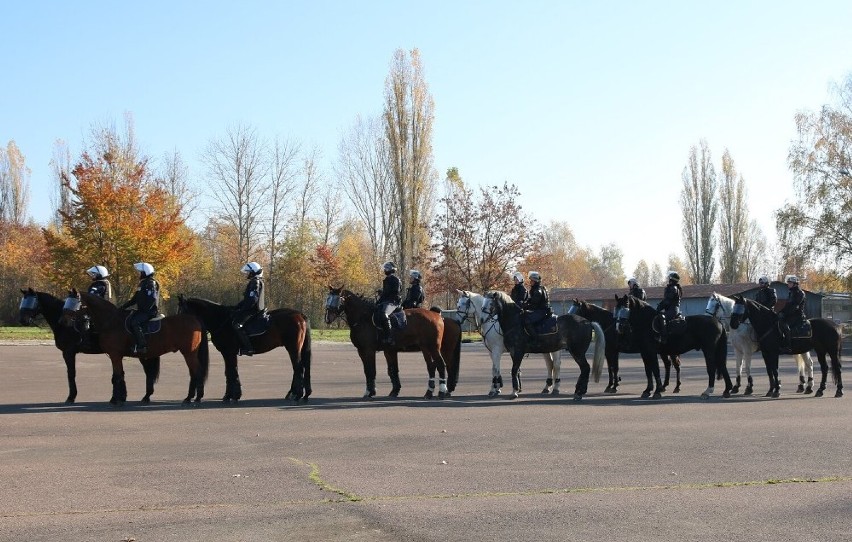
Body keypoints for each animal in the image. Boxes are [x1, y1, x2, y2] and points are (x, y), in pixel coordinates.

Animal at [18, 292, 163, 406]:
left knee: (148, 372)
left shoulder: (68, 352)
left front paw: (71, 397)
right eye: (23, 300)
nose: (22, 320)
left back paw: (147, 395)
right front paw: (121, 396)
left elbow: (71, 374)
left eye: (31, 301)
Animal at [74, 294, 211, 404]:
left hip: (189, 353)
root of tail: (195, 319)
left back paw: (194, 397)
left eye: (76, 302)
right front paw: (121, 397)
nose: (71, 319)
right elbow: (121, 375)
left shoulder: (115, 355)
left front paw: (116, 400)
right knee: (194, 372)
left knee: (196, 371)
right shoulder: (119, 356)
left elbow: (117, 376)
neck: (111, 321)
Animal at [176, 298, 312, 404]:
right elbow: (229, 371)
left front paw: (233, 395)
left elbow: (232, 371)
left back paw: (297, 394)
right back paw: (296, 393)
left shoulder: (229, 352)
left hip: (293, 348)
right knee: (298, 369)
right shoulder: (227, 353)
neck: (221, 320)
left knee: (298, 368)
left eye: (181, 311)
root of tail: (300, 315)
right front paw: (230, 395)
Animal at [324, 288, 460, 400]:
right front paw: (388, 391)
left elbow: (372, 370)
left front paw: (370, 392)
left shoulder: (369, 350)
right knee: (432, 366)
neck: (363, 318)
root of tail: (438, 316)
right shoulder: (370, 351)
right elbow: (385, 370)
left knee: (442, 365)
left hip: (435, 348)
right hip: (426, 349)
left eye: (337, 299)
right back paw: (430, 392)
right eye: (328, 298)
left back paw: (442, 392)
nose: (327, 318)